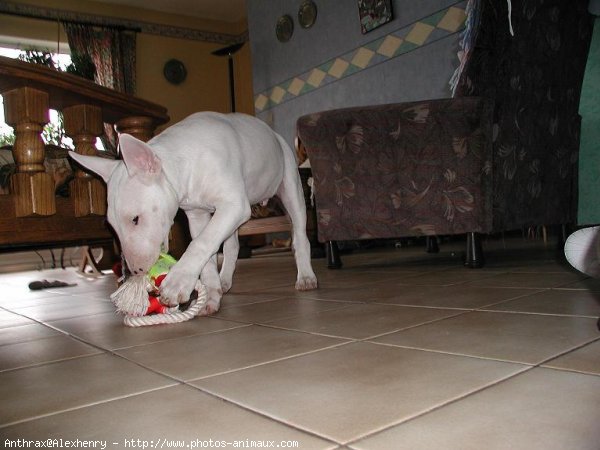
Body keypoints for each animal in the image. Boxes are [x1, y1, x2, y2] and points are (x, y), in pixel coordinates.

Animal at [71, 112, 318, 314]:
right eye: (111, 226)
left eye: (135, 219)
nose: (135, 272)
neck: (183, 161)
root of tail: (274, 134)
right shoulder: (198, 215)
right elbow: (206, 250)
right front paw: (210, 295)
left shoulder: (234, 205)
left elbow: (201, 243)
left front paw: (176, 283)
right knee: (232, 245)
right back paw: (224, 280)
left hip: (290, 187)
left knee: (300, 234)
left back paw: (306, 276)